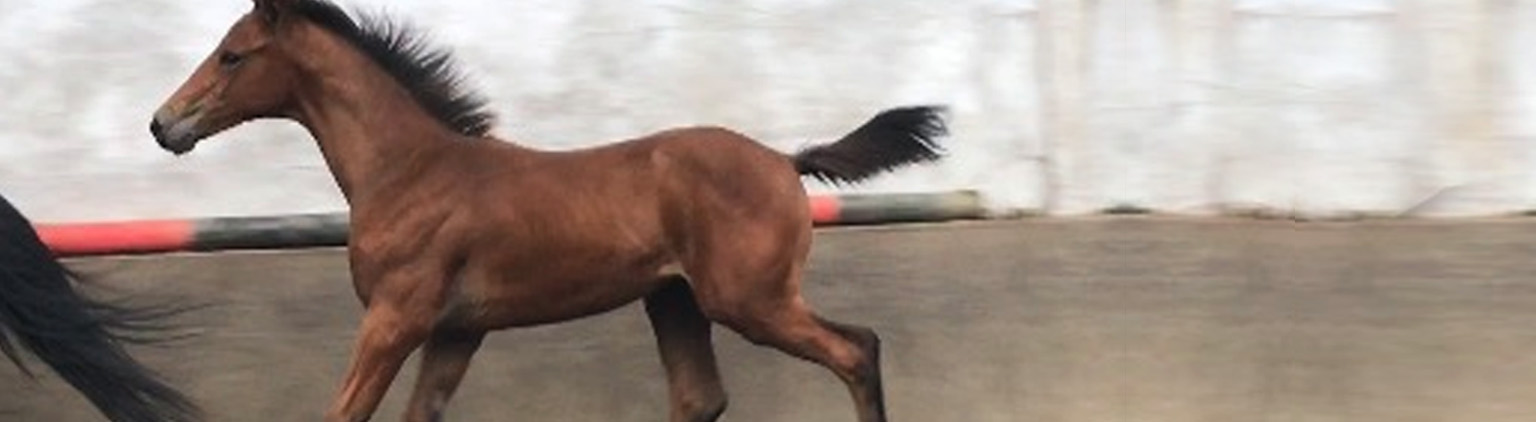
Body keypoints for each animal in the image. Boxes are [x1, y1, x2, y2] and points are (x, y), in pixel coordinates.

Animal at [150, 1, 945, 421]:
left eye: (232, 55)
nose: (164, 124)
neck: (408, 168)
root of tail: (783, 160)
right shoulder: (455, 331)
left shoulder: (394, 319)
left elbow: (347, 412)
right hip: (677, 302)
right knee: (701, 397)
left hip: (749, 300)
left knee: (856, 349)